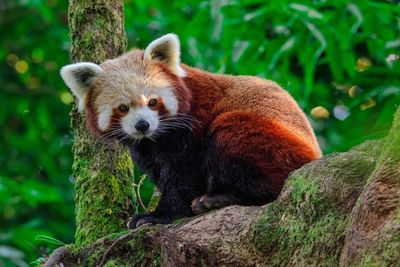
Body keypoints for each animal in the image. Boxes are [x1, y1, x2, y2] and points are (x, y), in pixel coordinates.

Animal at [60, 34, 322, 230]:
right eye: (123, 108)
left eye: (152, 102)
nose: (142, 125)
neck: (155, 138)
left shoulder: (194, 125)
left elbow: (185, 176)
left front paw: (158, 215)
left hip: (274, 146)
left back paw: (220, 198)